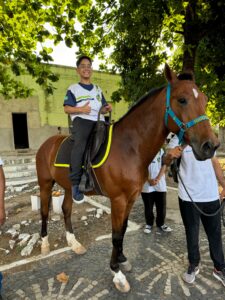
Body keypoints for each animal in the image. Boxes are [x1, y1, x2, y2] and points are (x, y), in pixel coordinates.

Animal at [36, 64, 219, 292]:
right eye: (182, 100)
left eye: (204, 100)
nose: (210, 146)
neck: (129, 147)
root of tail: (47, 143)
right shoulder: (118, 200)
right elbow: (115, 235)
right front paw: (117, 273)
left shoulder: (131, 198)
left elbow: (122, 230)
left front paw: (122, 259)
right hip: (45, 184)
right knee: (44, 212)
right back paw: (44, 244)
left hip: (69, 187)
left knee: (66, 210)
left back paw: (74, 243)